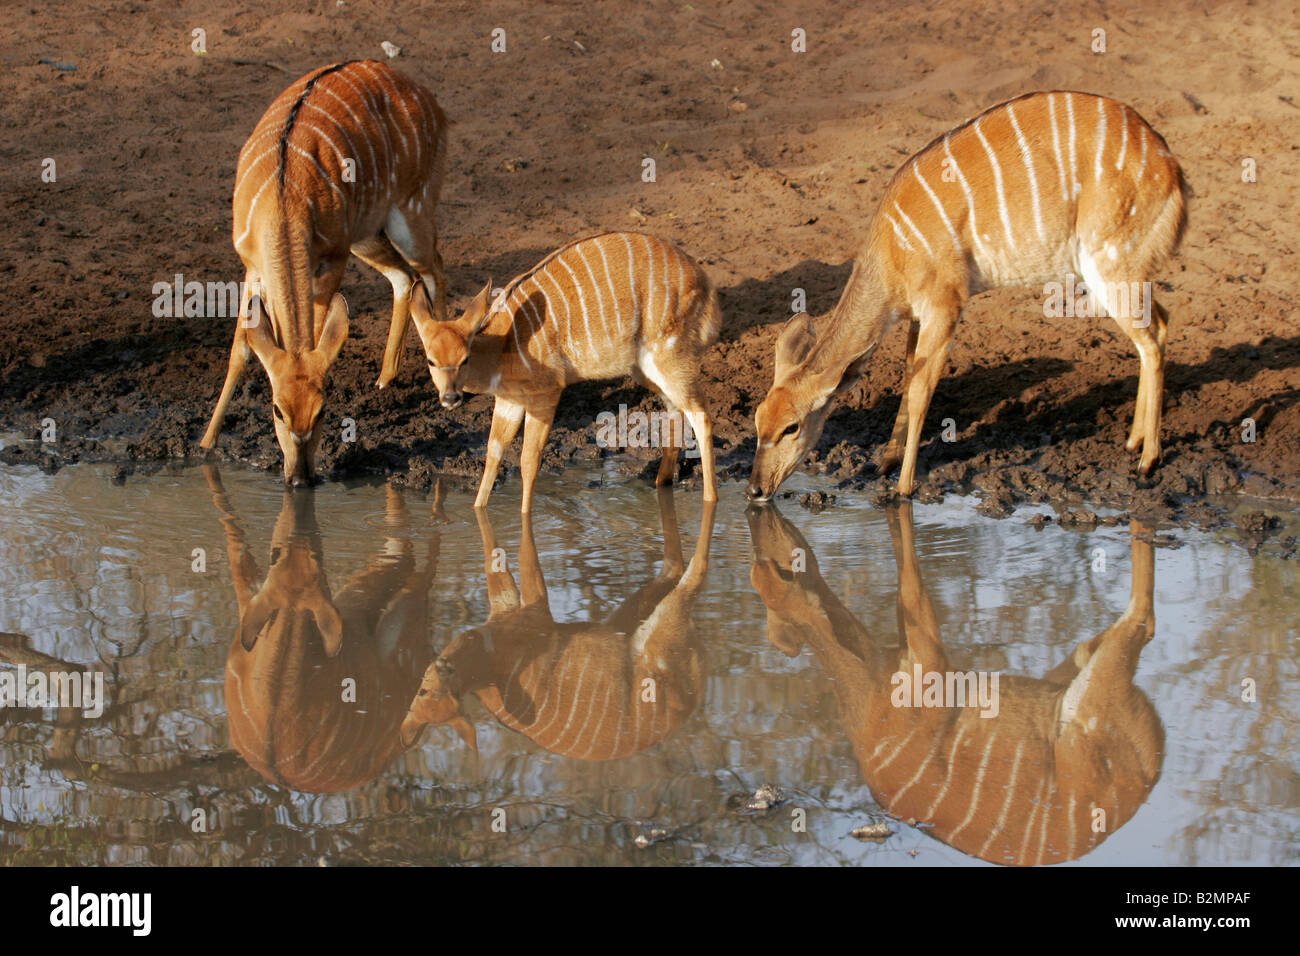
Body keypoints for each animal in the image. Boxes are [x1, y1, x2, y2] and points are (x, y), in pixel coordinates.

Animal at [200, 59, 449, 486]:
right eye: (277, 410)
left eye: (322, 411)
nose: (300, 477)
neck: (283, 201)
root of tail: (431, 102)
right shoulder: (251, 264)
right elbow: (241, 350)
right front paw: (205, 443)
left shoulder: (332, 257)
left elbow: (317, 333)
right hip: (367, 233)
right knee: (405, 278)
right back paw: (385, 379)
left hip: (409, 212)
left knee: (433, 269)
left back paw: (450, 385)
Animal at [400, 488, 714, 758]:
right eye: (422, 692)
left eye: (435, 691)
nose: (442, 664)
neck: (489, 665)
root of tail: (695, 695)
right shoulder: (505, 608)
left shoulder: (538, 615)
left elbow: (526, 556)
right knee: (672, 566)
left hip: (662, 632)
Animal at [408, 232, 722, 512]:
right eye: (430, 360)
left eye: (465, 358)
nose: (450, 398)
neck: (504, 344)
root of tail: (704, 282)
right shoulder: (509, 399)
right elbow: (493, 453)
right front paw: (478, 510)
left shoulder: (545, 393)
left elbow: (528, 460)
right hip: (645, 369)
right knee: (676, 411)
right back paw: (660, 482)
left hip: (670, 355)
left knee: (701, 415)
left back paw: (710, 499)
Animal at [748, 501, 1163, 865]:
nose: (756, 508)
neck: (872, 704)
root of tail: (1153, 765)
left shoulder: (929, 663)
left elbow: (914, 588)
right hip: (1073, 673)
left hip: (1087, 717)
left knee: (1141, 621)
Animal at [749, 91, 1189, 500]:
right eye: (757, 419)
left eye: (792, 427)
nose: (754, 489)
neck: (891, 251)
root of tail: (1172, 169)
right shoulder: (917, 314)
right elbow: (908, 377)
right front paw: (884, 463)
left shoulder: (946, 304)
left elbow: (922, 391)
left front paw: (902, 489)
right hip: (1123, 272)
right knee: (1161, 323)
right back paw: (1132, 442)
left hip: (1111, 264)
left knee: (1151, 341)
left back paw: (1148, 459)